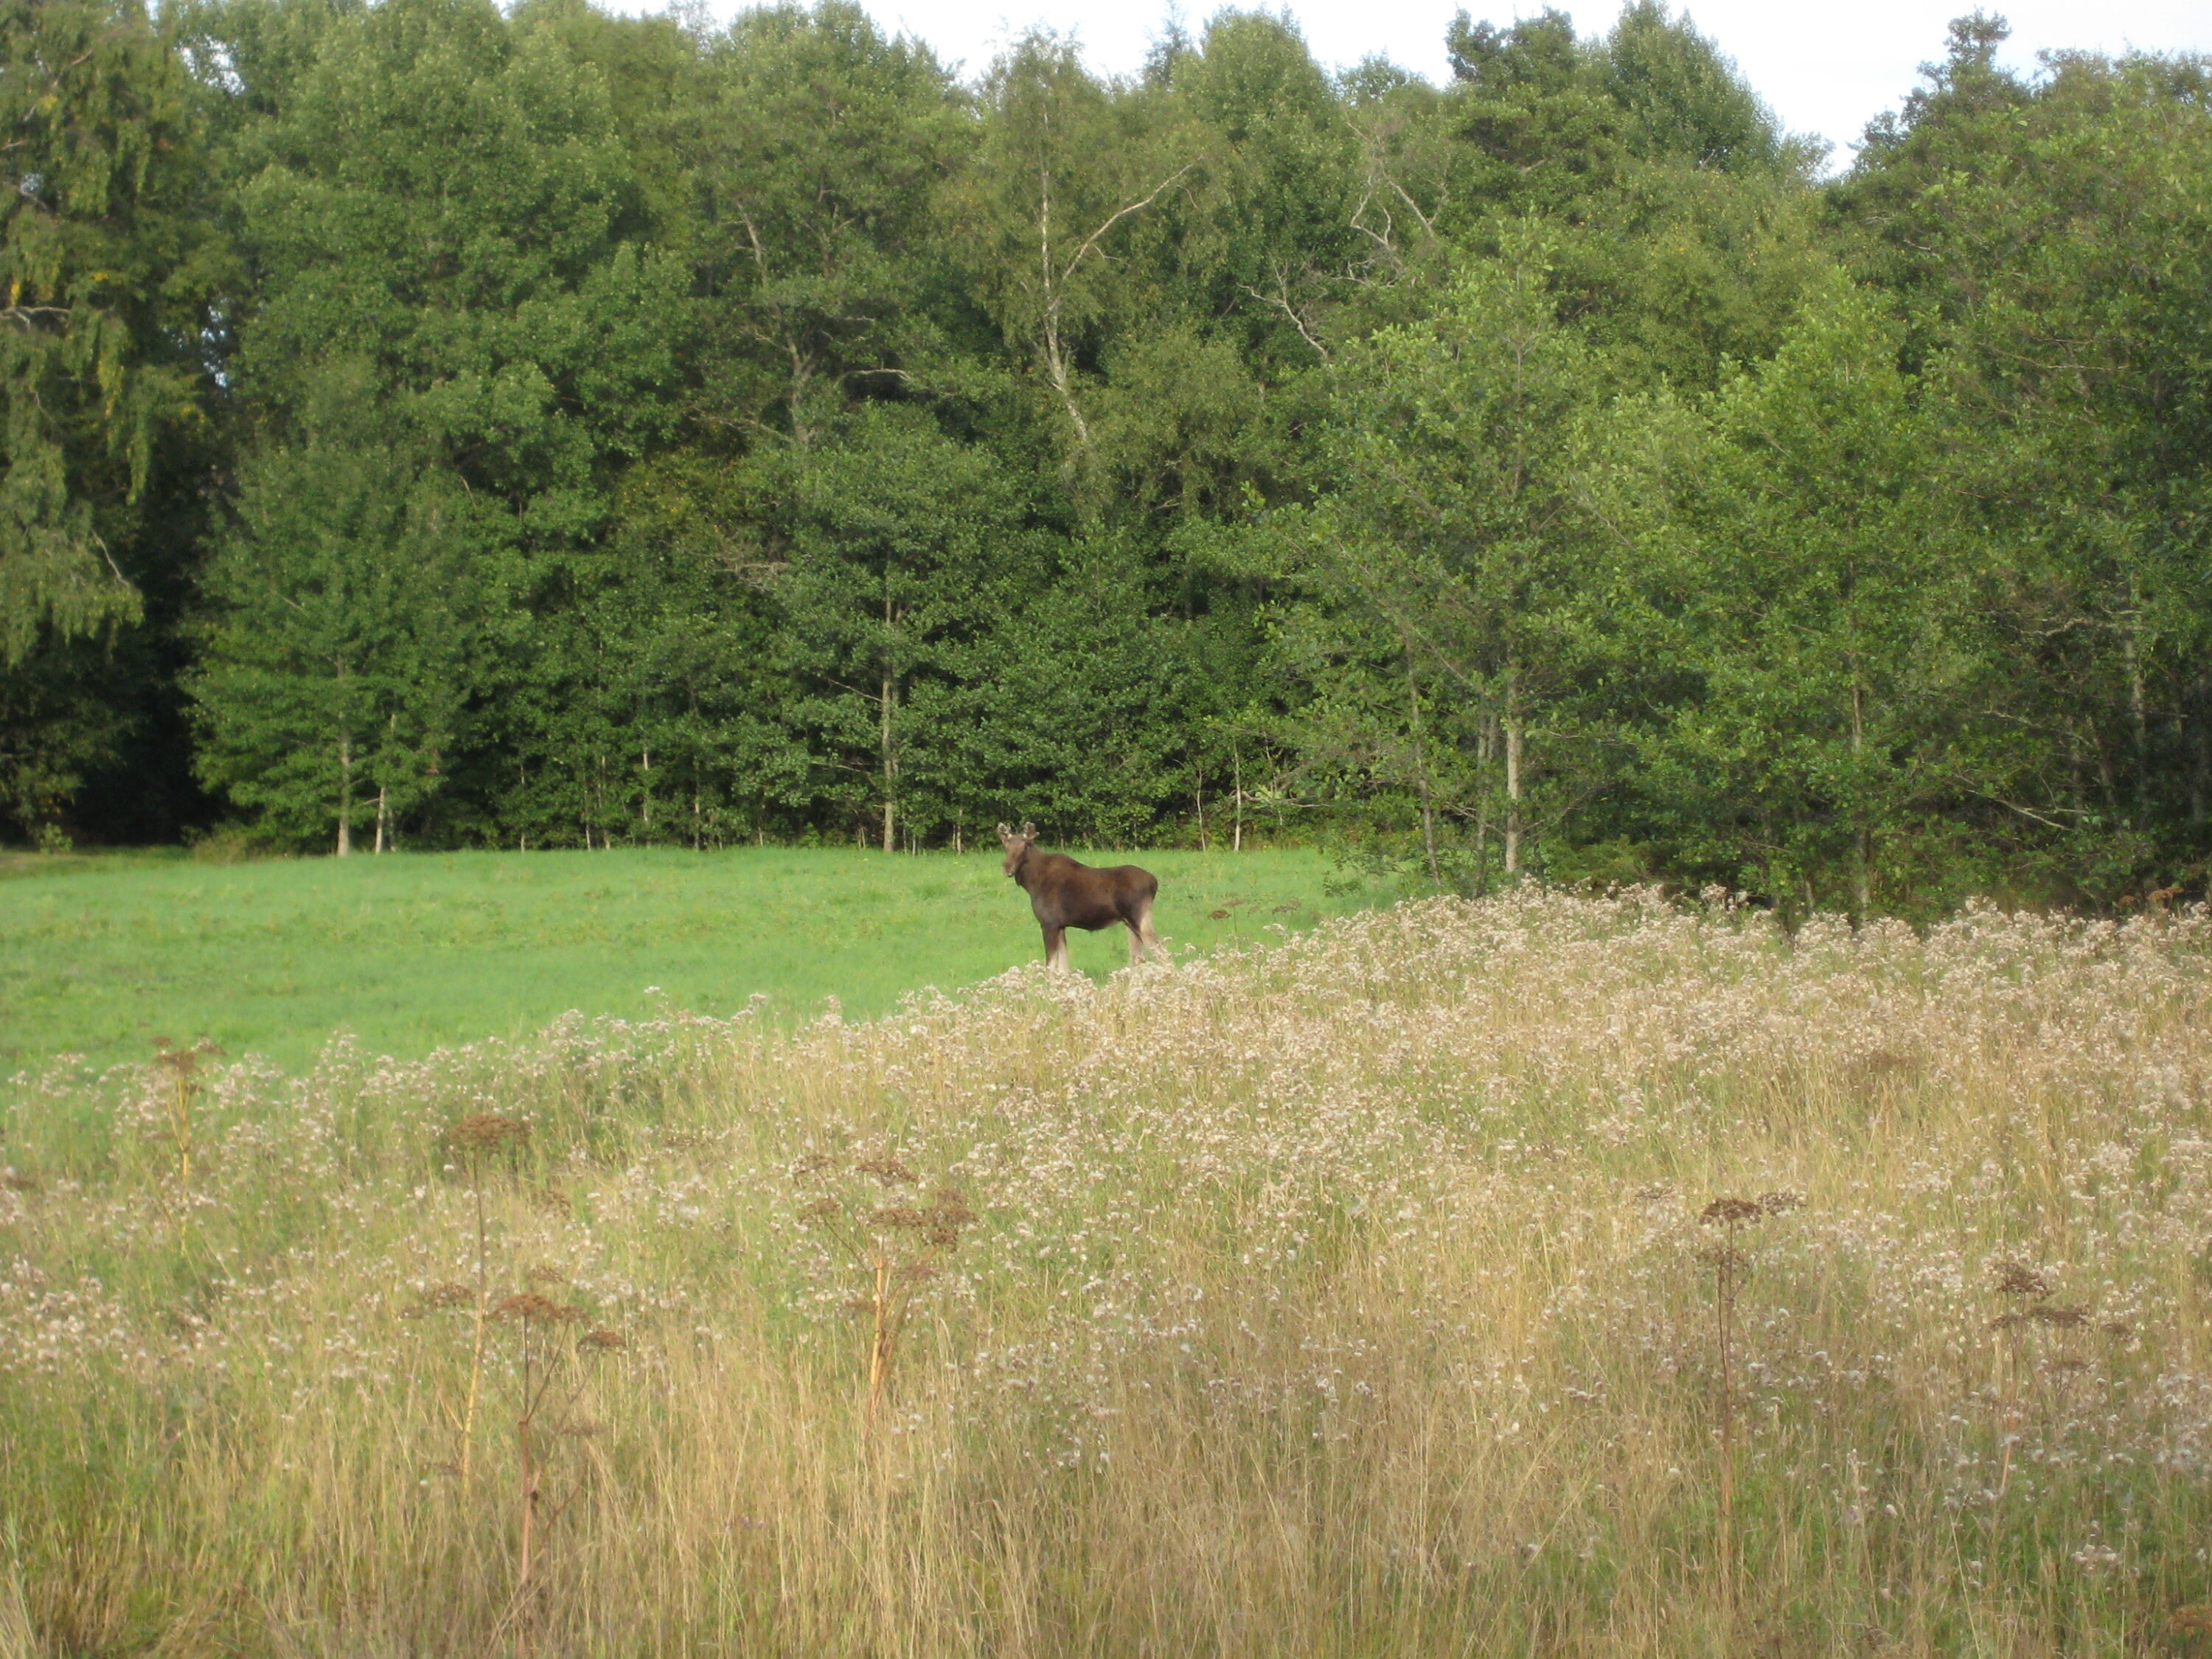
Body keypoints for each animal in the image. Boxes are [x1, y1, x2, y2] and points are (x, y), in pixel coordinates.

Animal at [997, 822, 1164, 971]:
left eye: (1025, 846)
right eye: (1006, 846)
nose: (1008, 868)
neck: (1031, 883)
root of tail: (1154, 882)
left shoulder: (1049, 923)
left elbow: (1051, 966)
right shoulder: (1061, 925)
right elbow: (1064, 967)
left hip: (1139, 917)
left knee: (1160, 952)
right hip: (1129, 923)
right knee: (1138, 957)